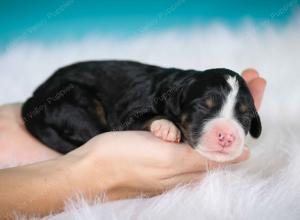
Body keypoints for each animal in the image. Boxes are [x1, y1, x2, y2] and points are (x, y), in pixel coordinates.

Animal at [21, 60, 260, 162]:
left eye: (245, 115)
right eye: (203, 107)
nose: (227, 136)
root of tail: (33, 99)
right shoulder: (127, 113)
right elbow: (146, 117)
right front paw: (166, 127)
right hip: (75, 99)